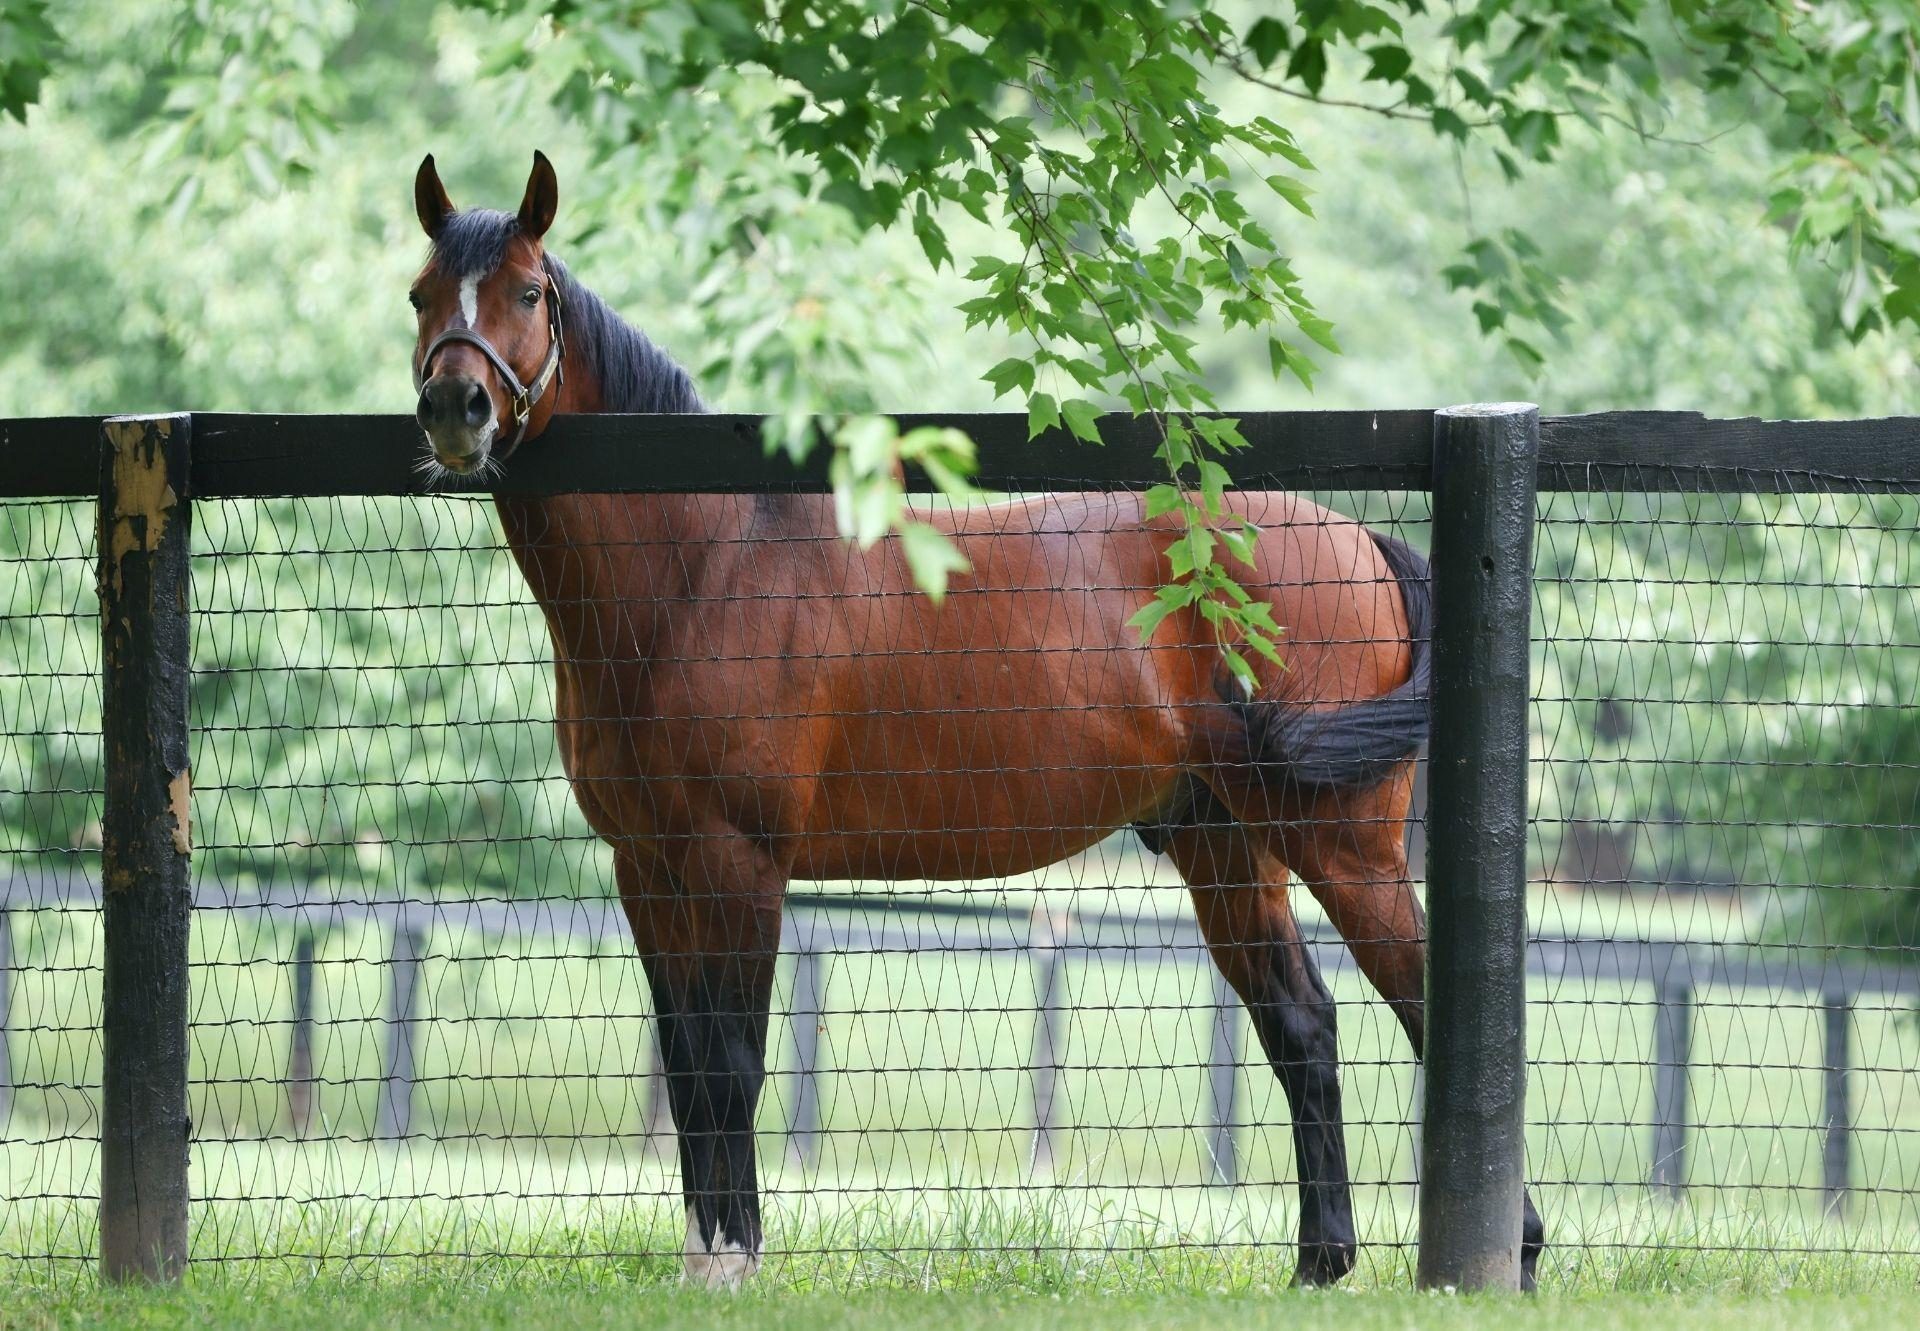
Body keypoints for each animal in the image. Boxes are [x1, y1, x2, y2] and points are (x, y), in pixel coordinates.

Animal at [405, 152, 1543, 1290]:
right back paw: (1319, 1265)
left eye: (526, 292)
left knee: (1424, 1004)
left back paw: (1510, 1255)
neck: (705, 564)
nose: (456, 406)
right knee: (1302, 1023)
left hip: (1343, 843)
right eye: (422, 294)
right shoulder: (647, 865)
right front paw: (702, 1260)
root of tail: (1361, 541)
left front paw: (734, 1260)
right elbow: (686, 1067)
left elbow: (731, 1063)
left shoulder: (738, 861)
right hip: (1224, 844)